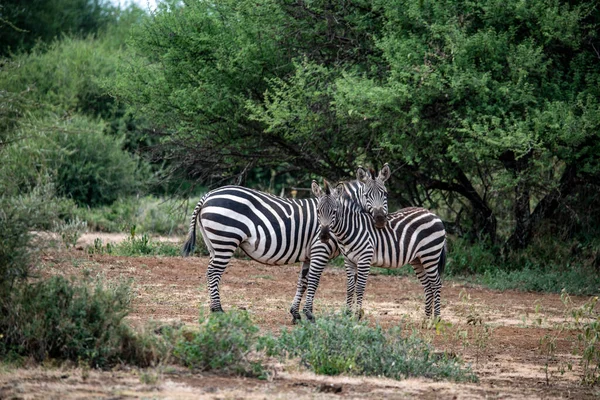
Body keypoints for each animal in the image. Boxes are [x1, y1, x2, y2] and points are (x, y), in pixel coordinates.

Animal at [180, 163, 392, 322]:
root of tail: (208, 195)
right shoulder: (320, 250)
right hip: (225, 240)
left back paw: (213, 308)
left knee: (211, 272)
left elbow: (303, 282)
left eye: (385, 194)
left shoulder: (309, 254)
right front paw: (309, 314)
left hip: (213, 243)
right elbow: (314, 281)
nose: (380, 220)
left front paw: (295, 314)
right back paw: (218, 310)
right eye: (366, 195)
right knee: (213, 273)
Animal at [308, 180, 448, 320]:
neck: (351, 229)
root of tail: (433, 214)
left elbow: (359, 287)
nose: (324, 236)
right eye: (318, 211)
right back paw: (426, 318)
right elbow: (350, 287)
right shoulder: (348, 260)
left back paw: (436, 319)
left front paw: (357, 315)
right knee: (428, 286)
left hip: (430, 255)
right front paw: (347, 314)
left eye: (334, 212)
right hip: (417, 259)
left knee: (436, 284)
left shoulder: (364, 258)